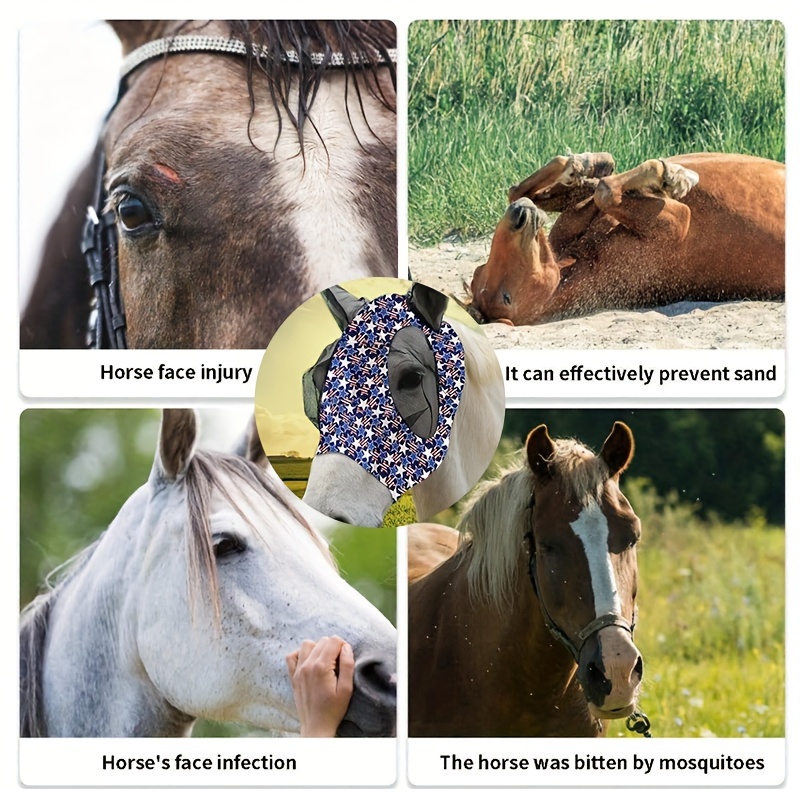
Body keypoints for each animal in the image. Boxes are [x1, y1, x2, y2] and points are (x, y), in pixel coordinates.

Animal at [467, 152, 784, 326]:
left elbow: (525, 190)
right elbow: (606, 191)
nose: (518, 216)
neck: (585, 260)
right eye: (506, 297)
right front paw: (672, 176)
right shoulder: (679, 220)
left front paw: (585, 165)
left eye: (478, 270)